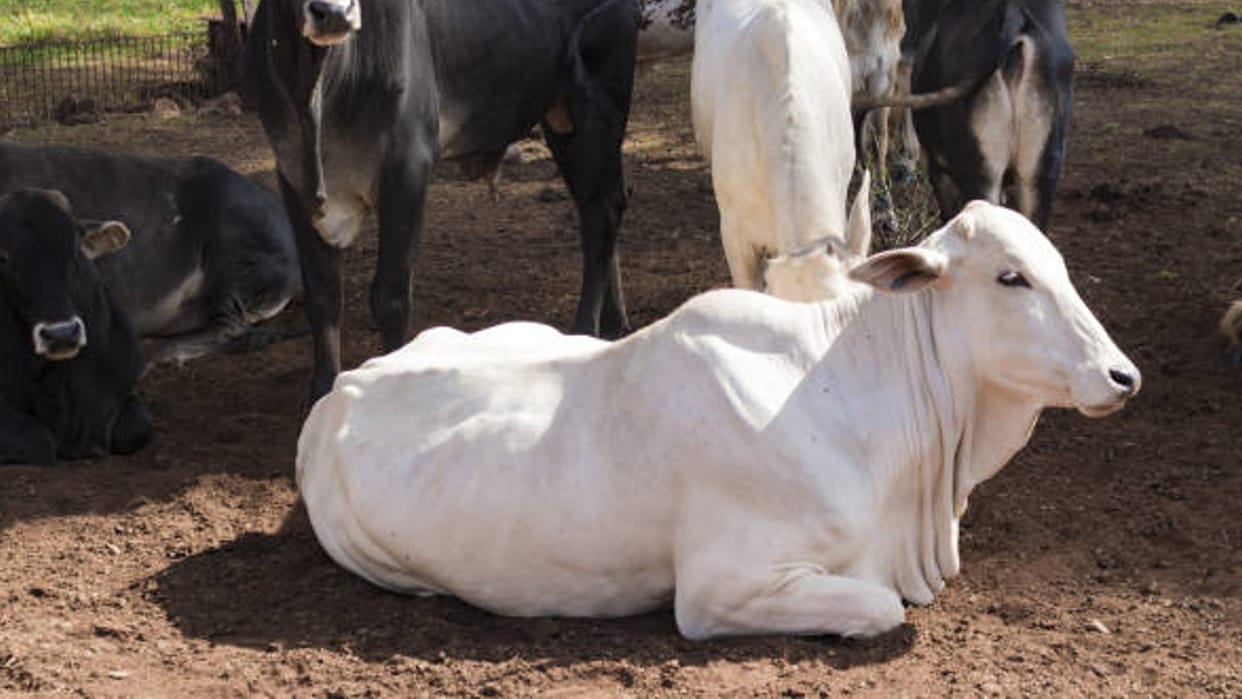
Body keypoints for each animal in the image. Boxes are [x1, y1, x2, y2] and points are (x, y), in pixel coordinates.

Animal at [246, 0, 639, 400]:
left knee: (603, 213)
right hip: (562, 120)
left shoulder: (407, 169)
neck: (318, 91)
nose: (336, 13)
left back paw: (585, 329)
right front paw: (322, 394)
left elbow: (390, 297)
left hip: (596, 110)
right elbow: (323, 297)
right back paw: (612, 322)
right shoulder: (293, 179)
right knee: (600, 207)